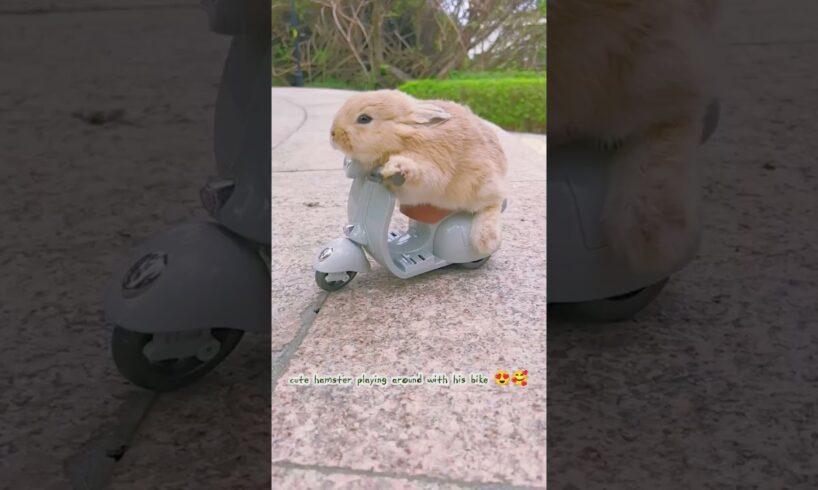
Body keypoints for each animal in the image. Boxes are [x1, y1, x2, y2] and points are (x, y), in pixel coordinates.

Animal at [328, 89, 506, 255]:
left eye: (364, 119)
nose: (333, 134)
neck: (401, 137)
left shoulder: (432, 167)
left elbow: (421, 174)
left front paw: (395, 166)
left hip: (481, 187)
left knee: (493, 204)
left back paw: (485, 239)